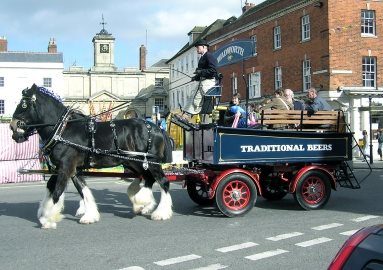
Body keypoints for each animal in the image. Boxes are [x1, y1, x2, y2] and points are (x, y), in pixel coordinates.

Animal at [9, 84, 174, 228]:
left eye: (24, 105)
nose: (12, 126)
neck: (63, 130)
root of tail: (157, 128)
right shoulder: (72, 169)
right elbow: (80, 190)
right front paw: (89, 215)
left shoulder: (65, 167)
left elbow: (57, 191)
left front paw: (48, 220)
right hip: (133, 163)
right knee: (149, 179)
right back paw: (143, 204)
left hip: (150, 162)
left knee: (163, 182)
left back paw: (160, 212)